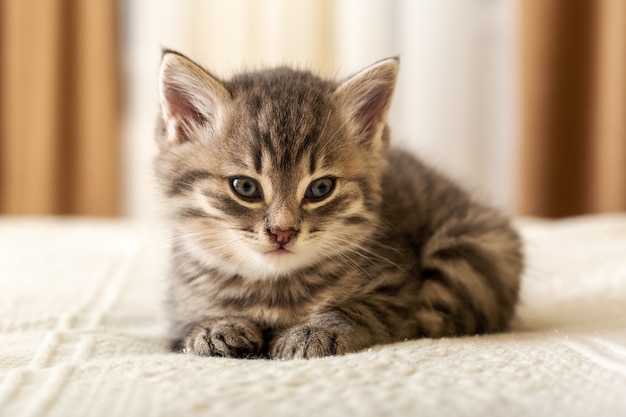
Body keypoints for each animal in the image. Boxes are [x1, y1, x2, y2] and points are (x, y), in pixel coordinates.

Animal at [154, 50, 520, 360]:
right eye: (245, 187)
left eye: (320, 188)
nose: (282, 232)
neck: (274, 287)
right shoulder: (177, 299)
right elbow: (188, 322)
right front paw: (214, 326)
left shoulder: (397, 288)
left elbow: (364, 309)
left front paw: (315, 330)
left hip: (472, 250)